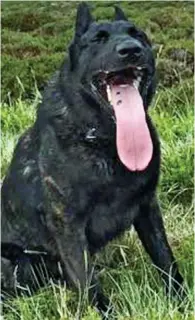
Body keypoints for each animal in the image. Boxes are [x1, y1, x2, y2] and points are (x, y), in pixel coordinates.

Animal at [1, 2, 184, 316]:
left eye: (139, 35)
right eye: (98, 39)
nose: (131, 50)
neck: (107, 138)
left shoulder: (148, 207)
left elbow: (166, 259)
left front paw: (182, 301)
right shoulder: (69, 227)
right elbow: (89, 283)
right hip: (15, 261)